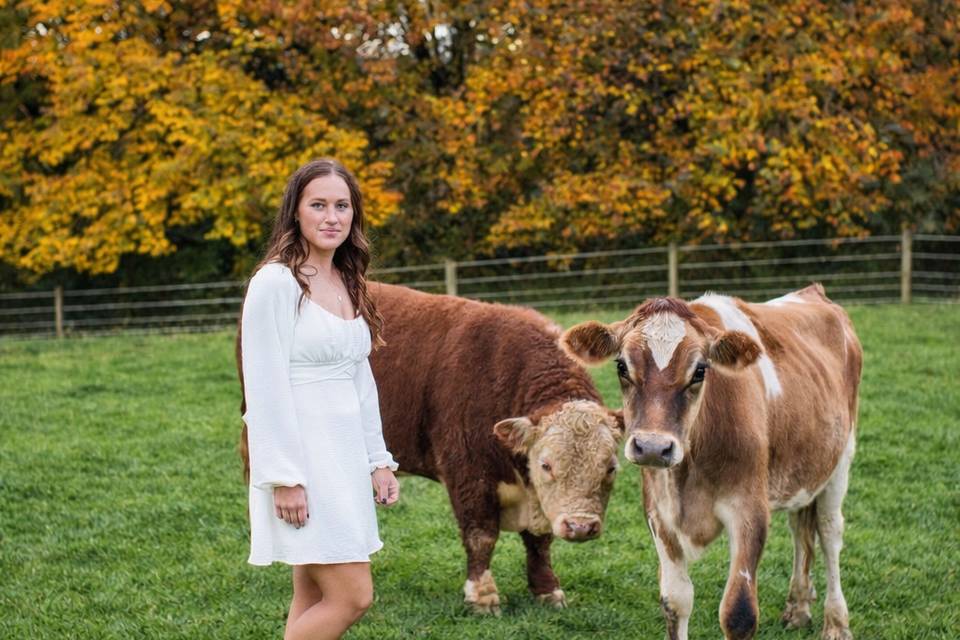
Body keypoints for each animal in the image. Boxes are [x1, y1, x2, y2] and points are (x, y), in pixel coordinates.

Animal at [239, 282, 625, 615]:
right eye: (546, 465)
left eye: (610, 467)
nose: (581, 526)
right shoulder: (467, 473)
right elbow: (481, 536)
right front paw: (482, 597)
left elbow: (539, 542)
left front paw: (547, 590)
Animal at [561, 284, 861, 640]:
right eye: (622, 366)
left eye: (700, 370)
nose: (653, 447)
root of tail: (812, 291)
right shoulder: (658, 512)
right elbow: (675, 600)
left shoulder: (749, 510)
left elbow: (739, 612)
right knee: (801, 526)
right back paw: (798, 608)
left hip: (841, 458)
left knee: (829, 532)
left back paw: (837, 623)